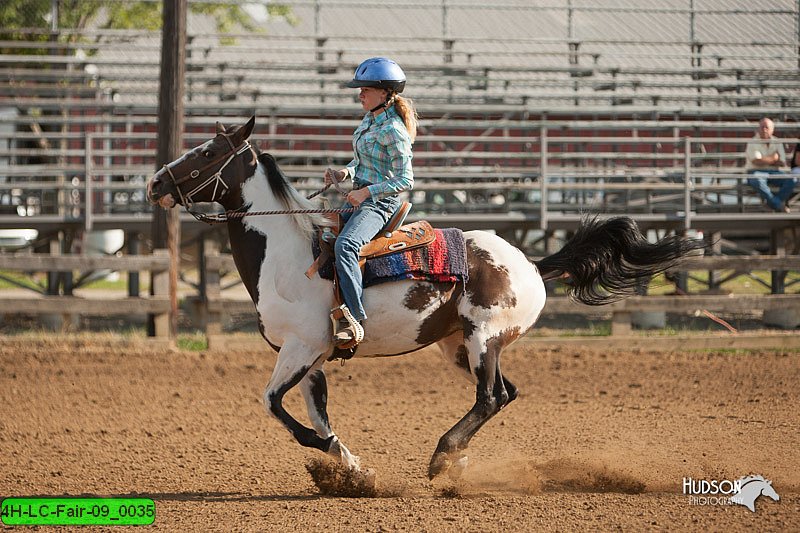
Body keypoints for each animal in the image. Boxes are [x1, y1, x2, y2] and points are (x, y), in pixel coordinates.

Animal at [147, 117, 704, 482]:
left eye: (206, 153)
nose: (154, 183)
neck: (290, 253)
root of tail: (530, 262)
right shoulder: (310, 356)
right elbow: (316, 411)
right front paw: (353, 469)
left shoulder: (301, 349)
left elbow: (275, 406)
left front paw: (332, 454)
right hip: (458, 345)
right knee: (505, 394)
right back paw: (455, 460)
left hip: (483, 338)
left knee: (490, 397)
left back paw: (441, 458)